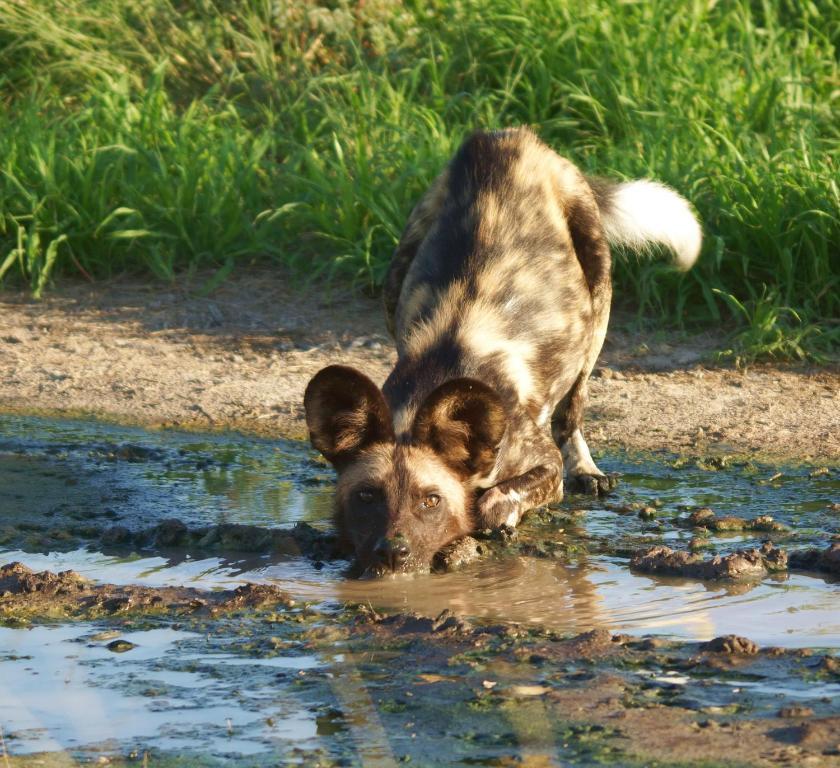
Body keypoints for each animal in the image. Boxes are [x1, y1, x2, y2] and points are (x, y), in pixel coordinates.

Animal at [306, 127, 700, 576]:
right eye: (367, 497)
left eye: (430, 500)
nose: (392, 551)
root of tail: (504, 136)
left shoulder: (546, 465)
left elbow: (493, 502)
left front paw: (492, 519)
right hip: (397, 275)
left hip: (598, 291)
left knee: (573, 408)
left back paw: (588, 470)